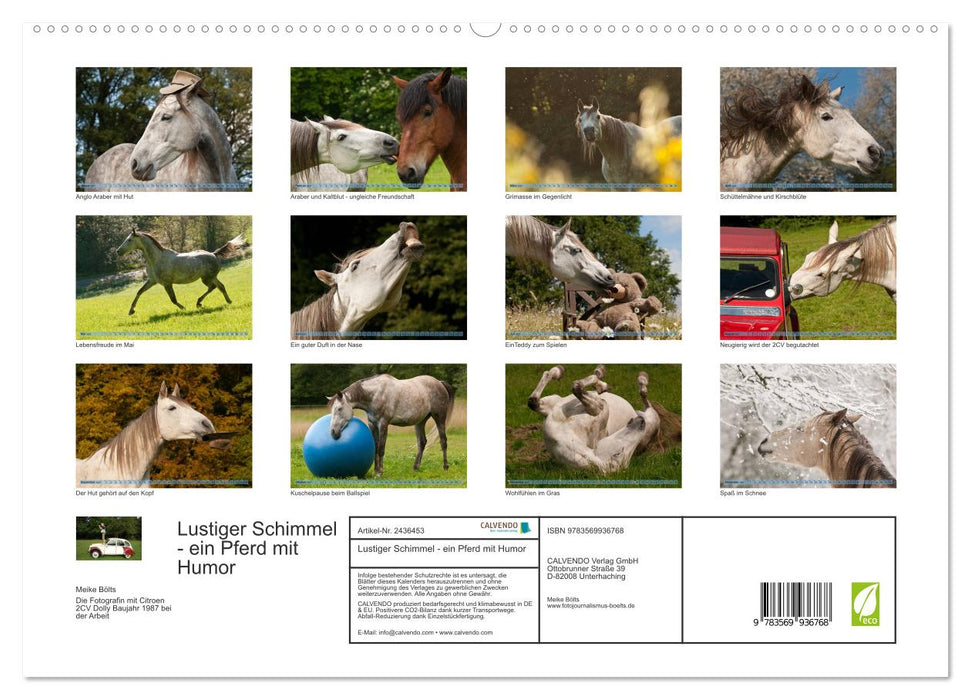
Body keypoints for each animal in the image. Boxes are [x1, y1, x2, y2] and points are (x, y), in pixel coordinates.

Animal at [116, 228, 247, 315]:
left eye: (129, 240)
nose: (118, 251)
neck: (157, 259)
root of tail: (214, 254)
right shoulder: (152, 281)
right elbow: (139, 292)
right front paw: (131, 311)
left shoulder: (167, 283)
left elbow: (173, 299)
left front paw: (183, 308)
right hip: (208, 278)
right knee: (218, 287)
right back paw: (214, 302)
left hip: (208, 277)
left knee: (217, 287)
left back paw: (208, 302)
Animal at [526, 365, 662, 473]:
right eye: (618, 454)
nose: (641, 423)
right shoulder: (550, 406)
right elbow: (532, 401)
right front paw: (557, 371)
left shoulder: (600, 408)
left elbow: (578, 388)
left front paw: (600, 381)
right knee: (645, 399)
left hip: (652, 420)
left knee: (645, 398)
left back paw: (641, 379)